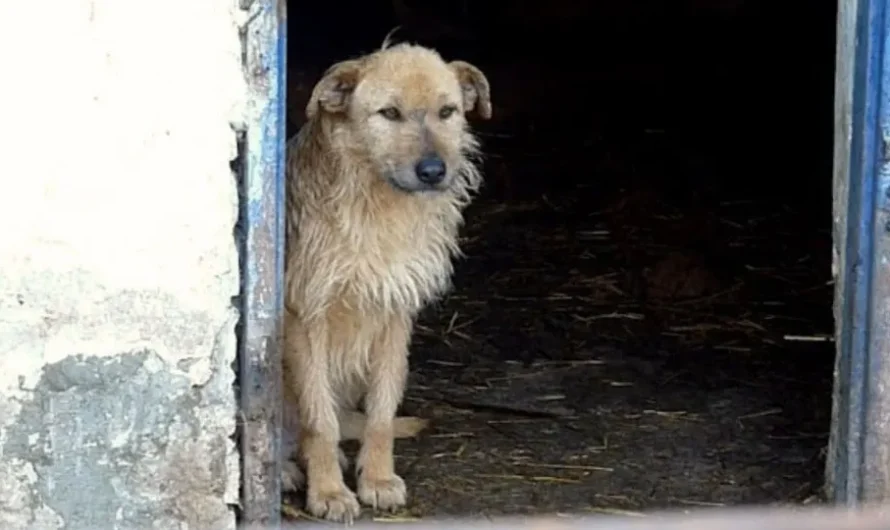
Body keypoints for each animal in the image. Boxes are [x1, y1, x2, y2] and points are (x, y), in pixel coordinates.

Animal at [280, 40, 492, 520]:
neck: (378, 204)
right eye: (389, 113)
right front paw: (328, 492)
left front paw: (376, 479)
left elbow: (382, 411)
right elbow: (318, 418)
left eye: (448, 111)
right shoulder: (306, 317)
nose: (433, 171)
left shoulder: (395, 314)